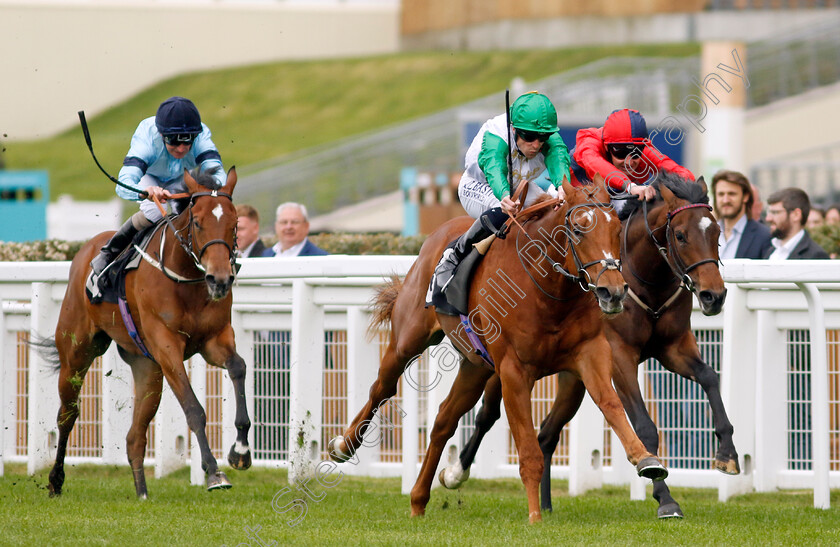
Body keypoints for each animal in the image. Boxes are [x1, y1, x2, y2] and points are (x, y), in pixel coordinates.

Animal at [45, 169, 249, 498]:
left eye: (234, 223)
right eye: (197, 222)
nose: (219, 279)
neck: (187, 279)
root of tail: (86, 249)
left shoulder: (214, 339)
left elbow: (238, 367)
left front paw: (241, 451)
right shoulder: (167, 347)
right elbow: (193, 408)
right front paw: (213, 472)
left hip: (147, 368)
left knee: (134, 435)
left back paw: (142, 492)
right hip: (76, 353)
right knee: (67, 415)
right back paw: (55, 480)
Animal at [332, 179, 668, 524]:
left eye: (616, 229)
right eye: (578, 229)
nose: (612, 292)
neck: (549, 293)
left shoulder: (590, 352)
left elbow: (611, 404)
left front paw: (646, 459)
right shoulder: (513, 371)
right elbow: (529, 448)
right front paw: (534, 516)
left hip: (475, 366)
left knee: (443, 420)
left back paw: (418, 499)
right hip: (407, 340)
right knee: (382, 388)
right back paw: (344, 446)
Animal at [440, 173, 736, 520]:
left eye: (716, 233)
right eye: (680, 235)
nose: (713, 296)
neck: (646, 283)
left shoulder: (674, 347)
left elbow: (710, 377)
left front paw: (727, 454)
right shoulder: (620, 355)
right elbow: (645, 425)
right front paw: (665, 499)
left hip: (573, 380)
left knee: (547, 432)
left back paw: (544, 503)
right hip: (507, 364)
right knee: (488, 414)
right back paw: (455, 473)